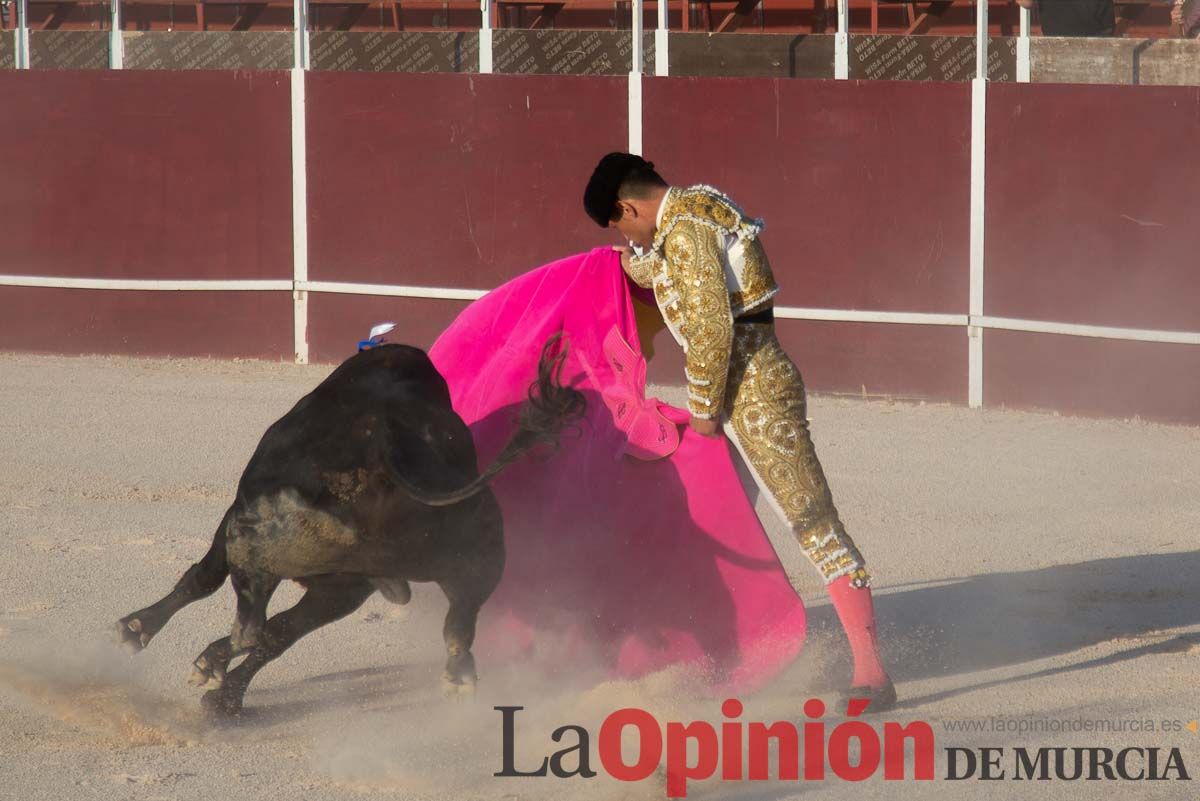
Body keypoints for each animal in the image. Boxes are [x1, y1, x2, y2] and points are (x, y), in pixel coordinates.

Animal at [117, 335, 585, 714]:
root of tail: (386, 442)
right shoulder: (346, 586)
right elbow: (282, 632)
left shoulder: (240, 526)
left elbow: (203, 581)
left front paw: (136, 630)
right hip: (472, 556)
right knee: (458, 620)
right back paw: (458, 677)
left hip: (253, 540)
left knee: (250, 627)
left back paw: (209, 671)